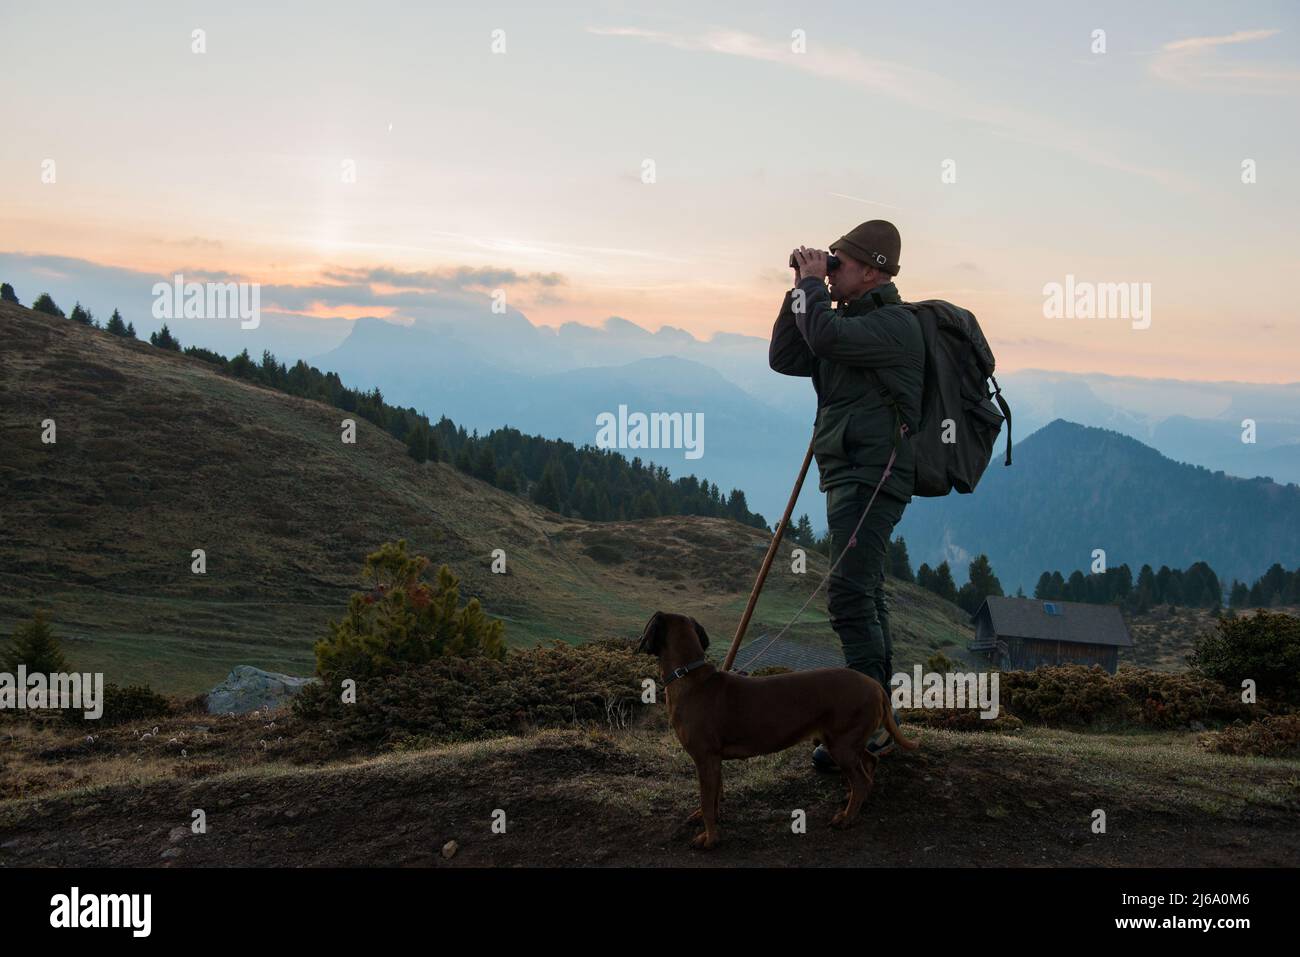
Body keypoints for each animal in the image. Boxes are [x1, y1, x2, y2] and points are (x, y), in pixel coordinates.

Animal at [634, 608, 920, 847]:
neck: (691, 678)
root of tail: (876, 686)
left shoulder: (705, 758)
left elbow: (707, 801)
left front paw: (710, 838)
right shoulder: (714, 760)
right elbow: (715, 796)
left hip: (842, 745)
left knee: (861, 779)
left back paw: (847, 817)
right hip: (847, 741)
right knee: (870, 763)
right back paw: (856, 801)